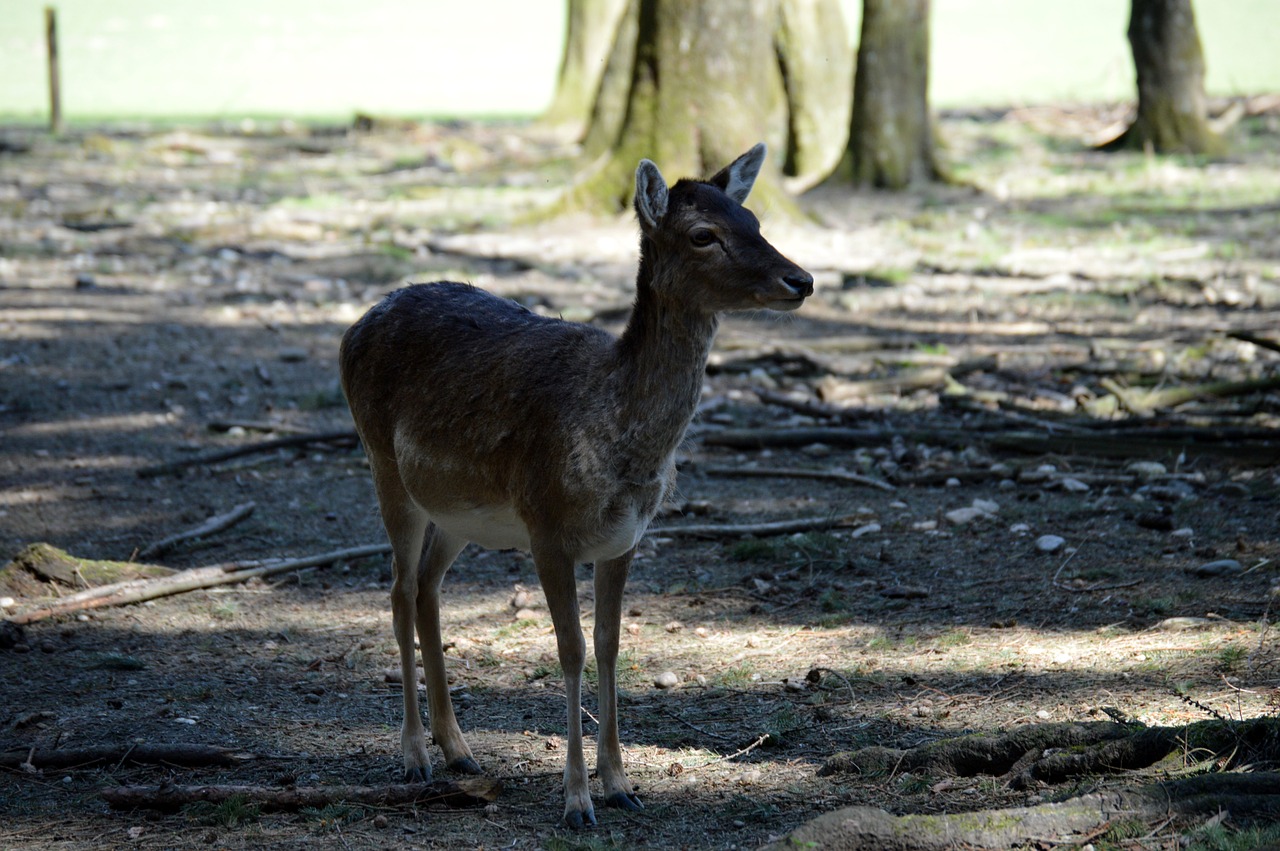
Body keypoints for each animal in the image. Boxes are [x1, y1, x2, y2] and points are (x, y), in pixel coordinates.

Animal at [340, 142, 814, 824]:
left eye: (753, 221)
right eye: (704, 234)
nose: (801, 280)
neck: (620, 446)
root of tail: (353, 327)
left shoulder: (625, 538)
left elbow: (611, 644)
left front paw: (620, 784)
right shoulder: (547, 526)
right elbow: (571, 649)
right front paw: (575, 800)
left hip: (458, 511)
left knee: (428, 587)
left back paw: (459, 748)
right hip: (383, 463)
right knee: (401, 591)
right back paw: (414, 754)